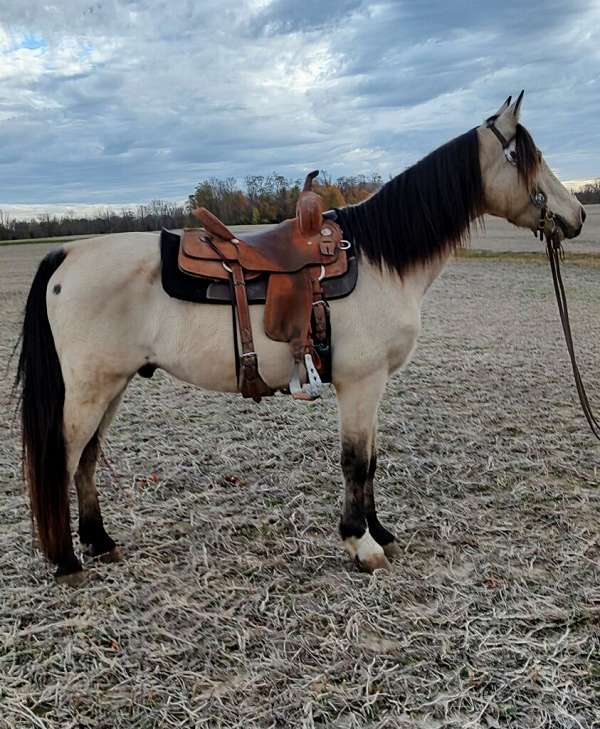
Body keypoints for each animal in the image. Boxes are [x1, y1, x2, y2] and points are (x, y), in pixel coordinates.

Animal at [15, 91, 584, 584]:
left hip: (113, 386)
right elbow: (355, 461)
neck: (381, 260)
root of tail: (67, 254)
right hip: (90, 389)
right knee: (64, 458)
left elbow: (371, 460)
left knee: (87, 459)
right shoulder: (359, 383)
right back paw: (67, 561)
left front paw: (380, 531)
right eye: (528, 157)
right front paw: (361, 544)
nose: (577, 215)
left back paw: (99, 541)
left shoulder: (373, 386)